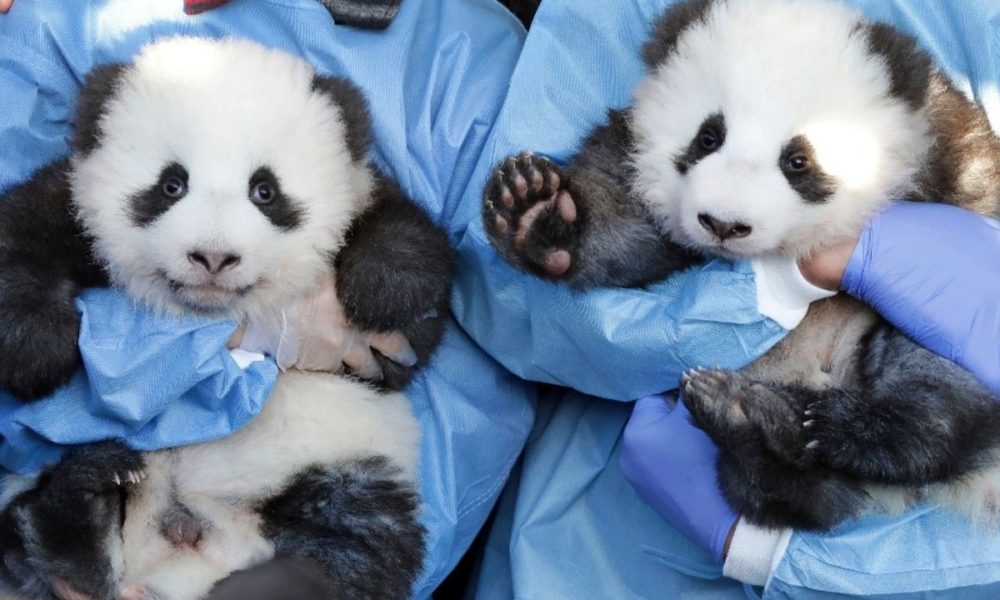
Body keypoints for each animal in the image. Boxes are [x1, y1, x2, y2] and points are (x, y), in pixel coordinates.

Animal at [0, 36, 450, 600]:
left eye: (265, 191)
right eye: (171, 185)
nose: (213, 258)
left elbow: (408, 326)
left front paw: (381, 288)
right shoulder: (73, 211)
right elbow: (24, 235)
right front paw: (38, 342)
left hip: (347, 468)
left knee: (356, 546)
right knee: (31, 527)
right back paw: (87, 496)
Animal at [480, 0, 1000, 528]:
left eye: (797, 161)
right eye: (708, 137)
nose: (724, 224)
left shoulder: (944, 150)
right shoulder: (636, 157)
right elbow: (625, 233)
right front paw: (535, 214)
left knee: (937, 384)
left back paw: (850, 428)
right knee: (796, 494)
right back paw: (753, 422)